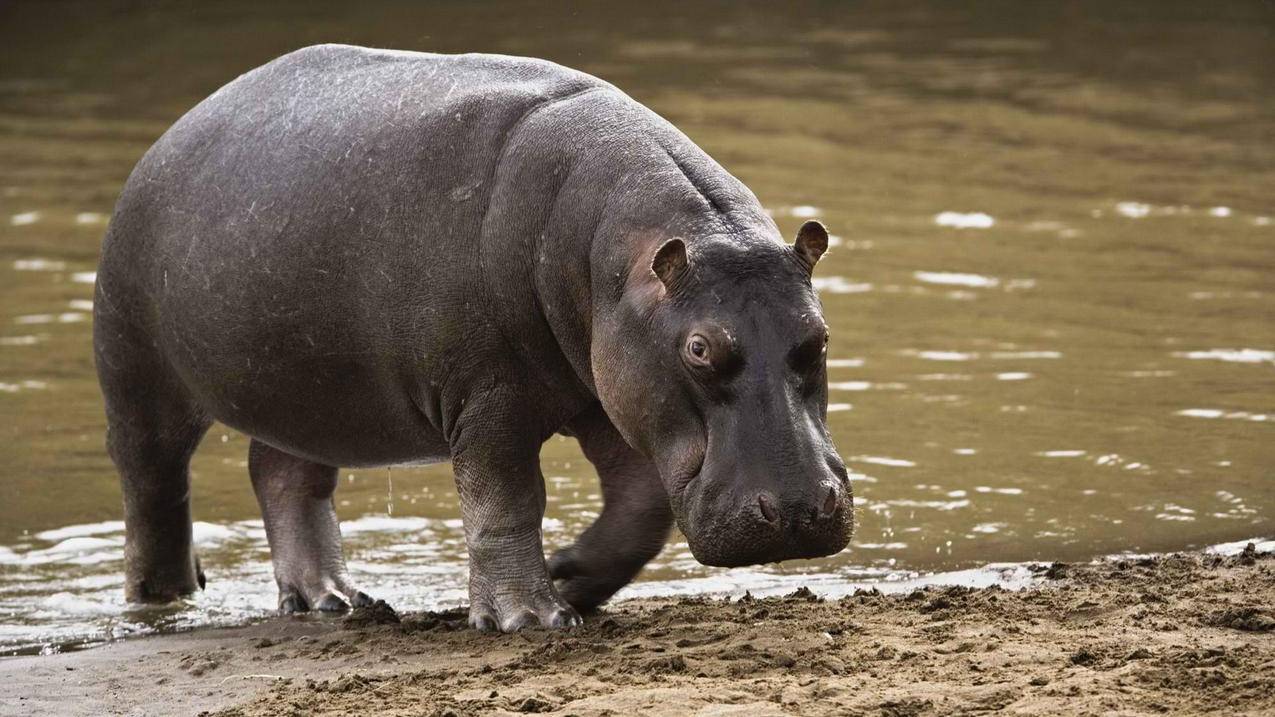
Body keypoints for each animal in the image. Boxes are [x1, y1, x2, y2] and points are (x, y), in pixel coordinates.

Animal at [94, 43, 851, 630]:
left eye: (818, 335)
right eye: (699, 348)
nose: (796, 508)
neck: (617, 257)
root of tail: (171, 134)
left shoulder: (609, 392)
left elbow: (640, 506)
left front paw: (568, 575)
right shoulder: (489, 398)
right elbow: (506, 501)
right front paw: (531, 618)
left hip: (305, 390)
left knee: (284, 476)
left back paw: (331, 600)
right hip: (137, 372)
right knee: (152, 490)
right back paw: (162, 602)